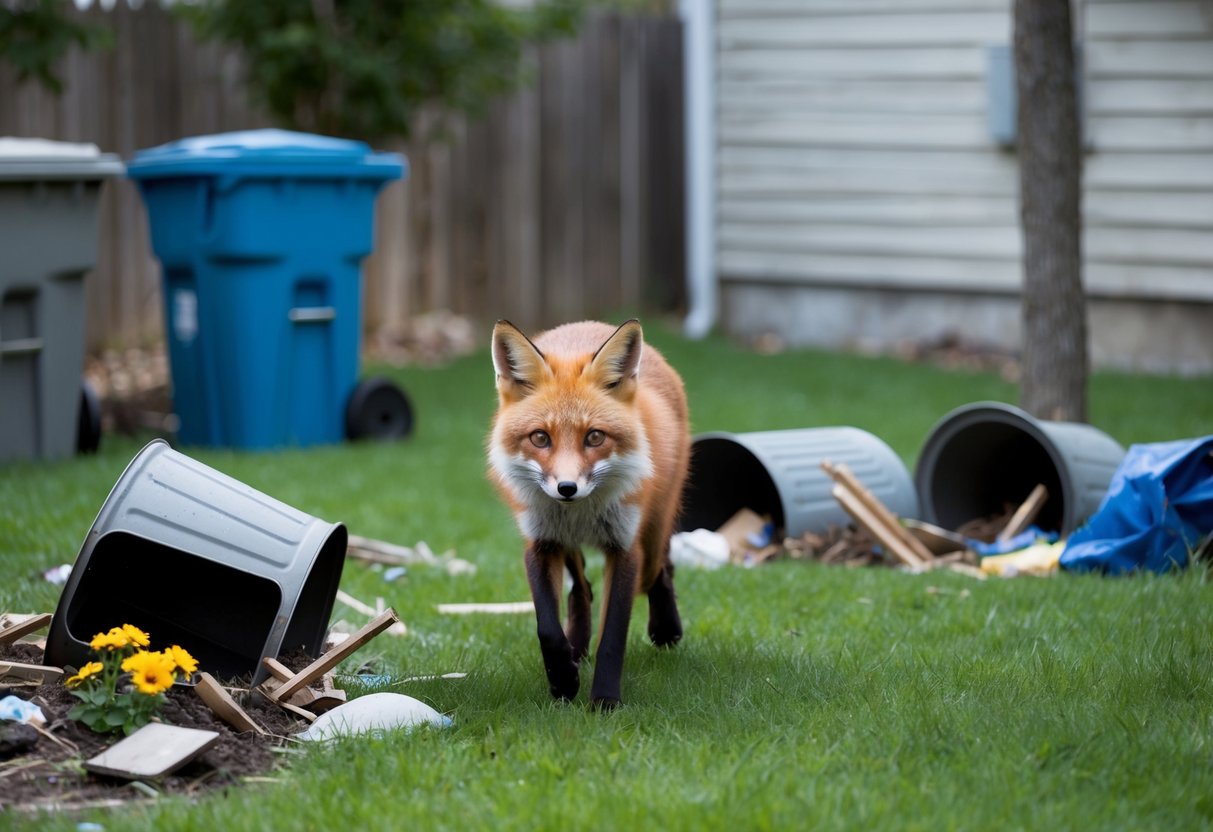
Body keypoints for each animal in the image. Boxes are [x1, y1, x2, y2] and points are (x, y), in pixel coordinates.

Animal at [488, 319, 690, 709]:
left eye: (594, 437)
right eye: (540, 438)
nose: (567, 488)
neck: (581, 514)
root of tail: (590, 325)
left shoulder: (625, 548)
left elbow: (613, 636)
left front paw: (605, 701)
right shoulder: (541, 543)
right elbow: (547, 628)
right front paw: (564, 680)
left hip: (653, 532)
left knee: (661, 569)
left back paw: (666, 627)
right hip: (566, 545)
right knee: (581, 590)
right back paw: (577, 647)